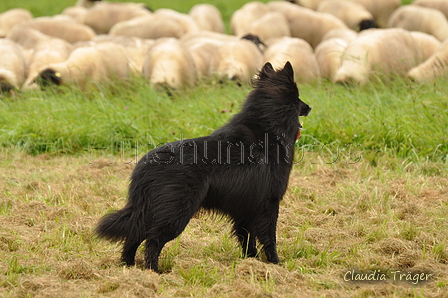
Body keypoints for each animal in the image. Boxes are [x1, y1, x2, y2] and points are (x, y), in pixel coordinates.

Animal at [94, 61, 312, 272]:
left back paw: (129, 268)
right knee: (152, 241)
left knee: (133, 236)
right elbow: (269, 238)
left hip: (150, 211)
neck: (268, 127)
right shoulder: (269, 203)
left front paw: (252, 263)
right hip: (175, 213)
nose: (309, 107)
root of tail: (145, 168)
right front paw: (276, 264)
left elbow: (247, 240)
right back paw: (154, 272)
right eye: (298, 97)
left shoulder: (245, 209)